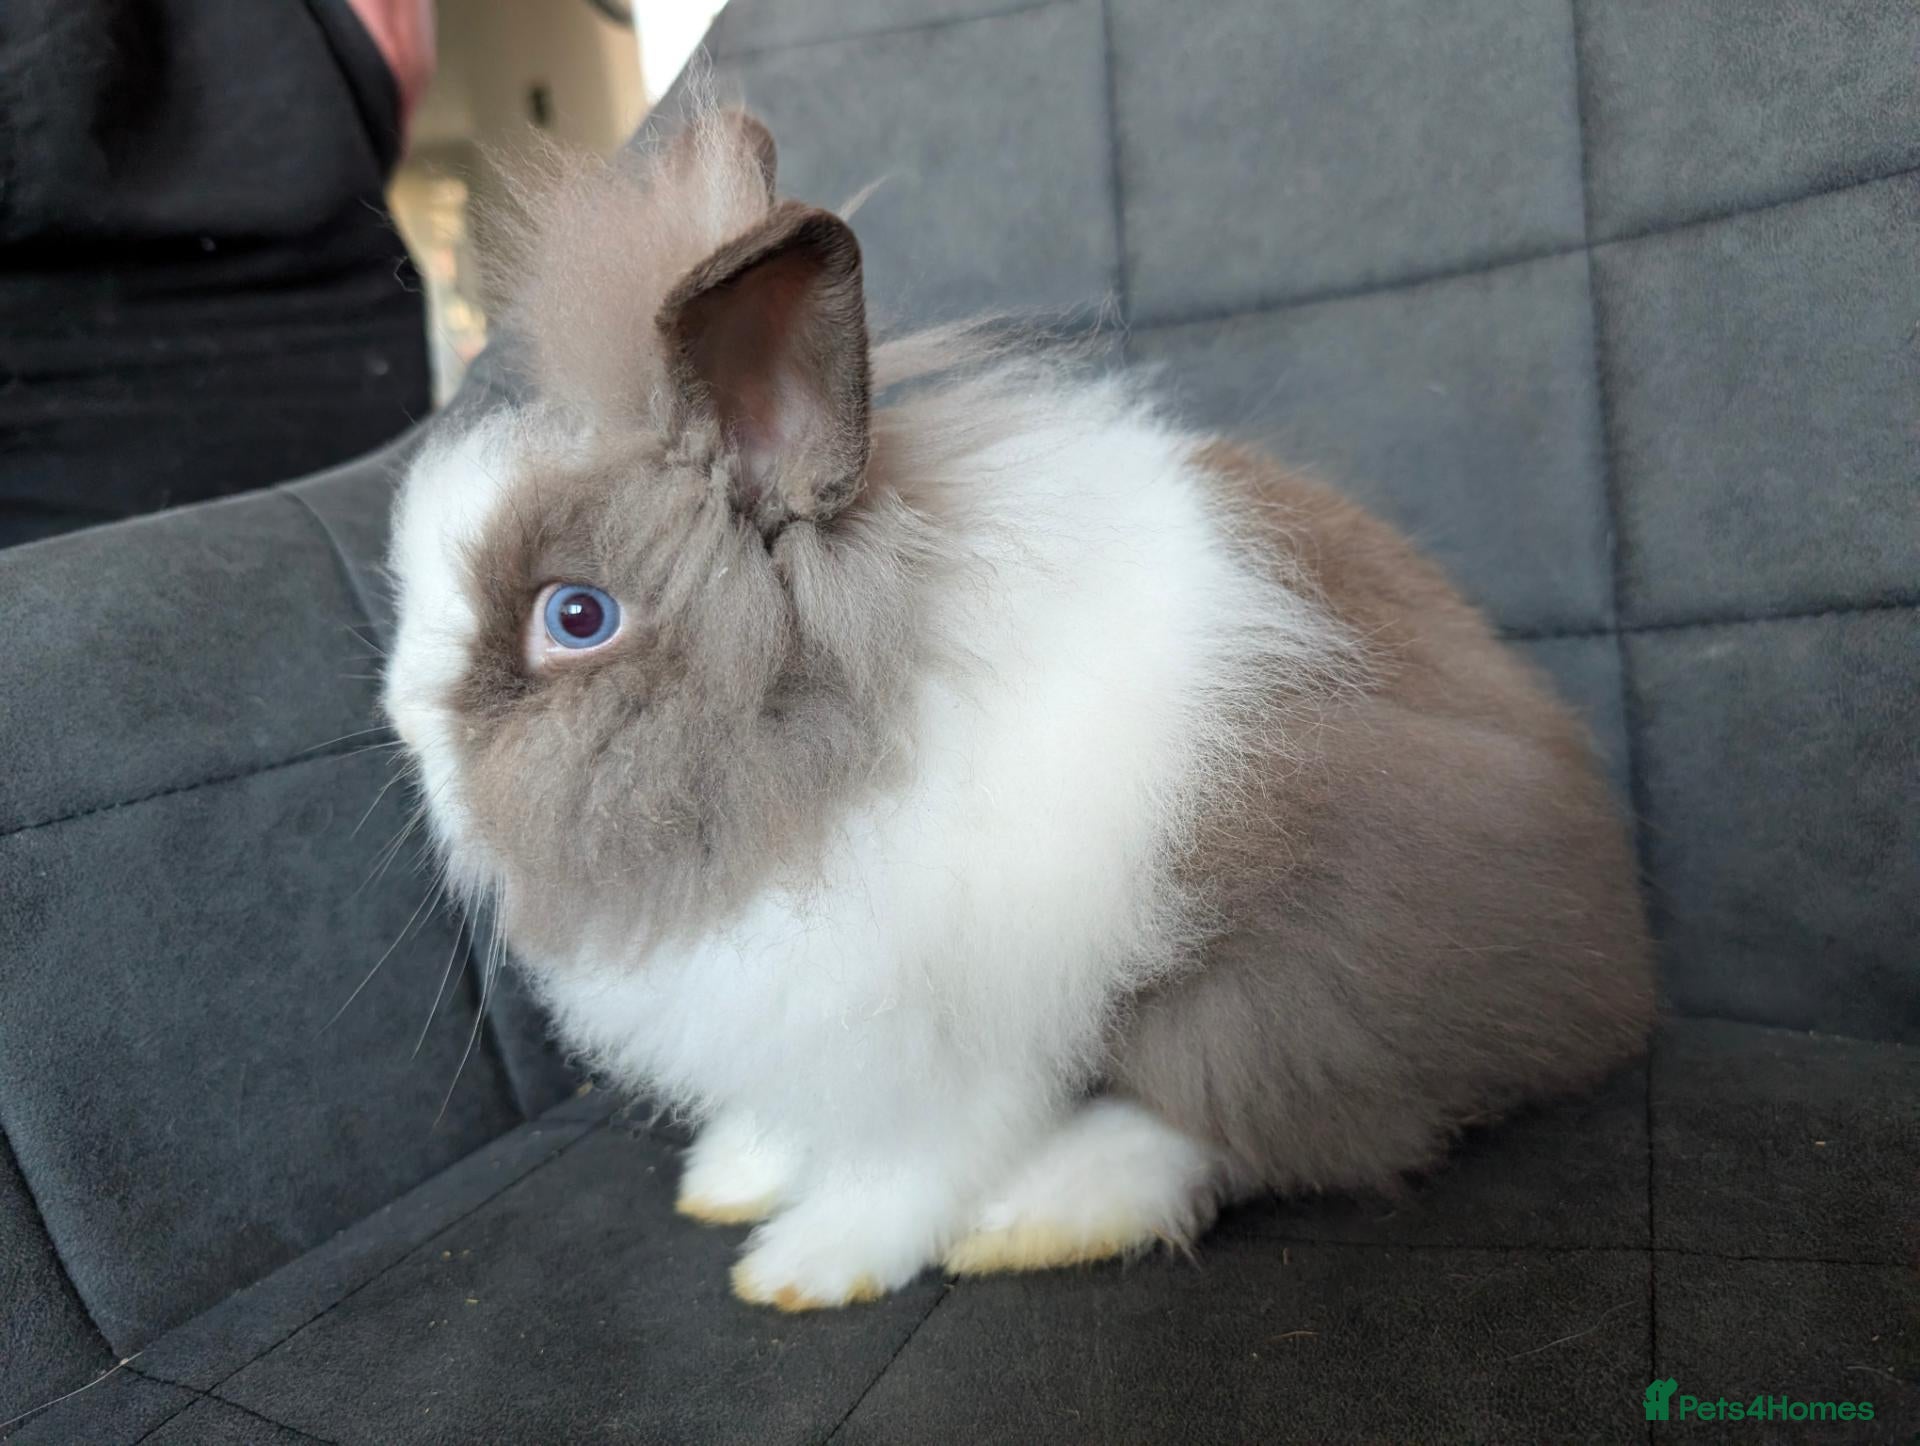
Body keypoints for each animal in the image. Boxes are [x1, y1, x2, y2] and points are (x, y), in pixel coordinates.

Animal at [381, 103, 1654, 1311]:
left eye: (575, 616)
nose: (403, 723)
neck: (820, 756)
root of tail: (1605, 960)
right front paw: (734, 1176)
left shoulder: (939, 1048)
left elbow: (907, 1167)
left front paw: (807, 1265)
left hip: (1281, 980)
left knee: (1244, 1124)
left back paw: (1043, 1215)